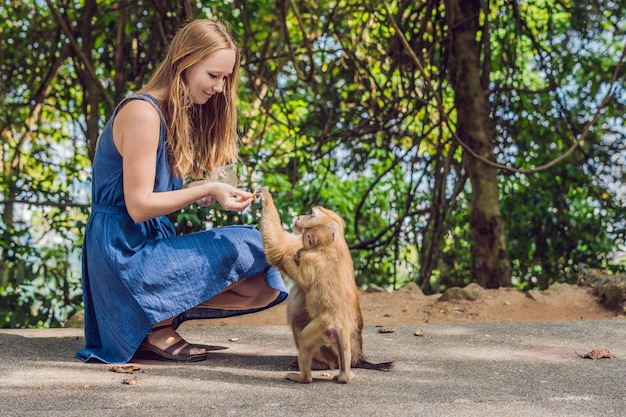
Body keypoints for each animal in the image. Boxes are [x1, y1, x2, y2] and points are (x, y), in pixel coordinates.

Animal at [252, 188, 390, 376]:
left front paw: (266, 198)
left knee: (300, 323)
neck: (332, 240)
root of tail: (357, 356)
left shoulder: (304, 245)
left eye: (311, 215)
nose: (299, 216)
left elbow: (278, 250)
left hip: (328, 347)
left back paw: (319, 364)